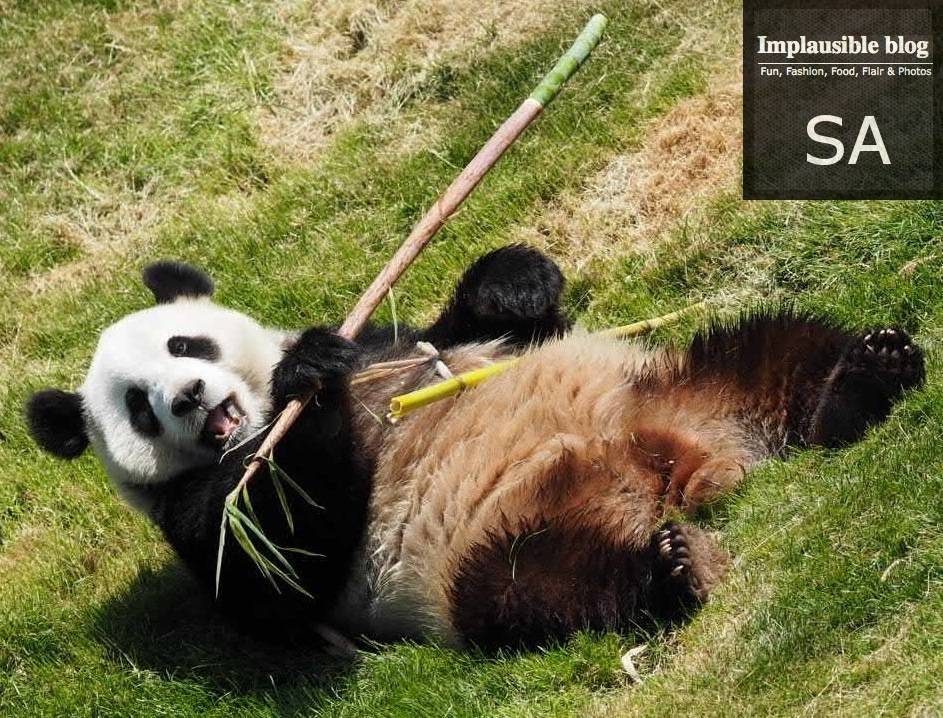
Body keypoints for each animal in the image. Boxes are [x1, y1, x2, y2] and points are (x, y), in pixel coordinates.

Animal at [26, 246, 925, 649]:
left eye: (186, 344)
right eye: (137, 407)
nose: (188, 398)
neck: (249, 430)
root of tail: (690, 471)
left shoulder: (391, 343)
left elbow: (493, 323)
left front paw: (513, 283)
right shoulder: (192, 513)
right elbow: (279, 561)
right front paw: (304, 387)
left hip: (671, 383)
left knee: (769, 352)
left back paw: (864, 378)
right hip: (493, 544)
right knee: (543, 588)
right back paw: (675, 568)